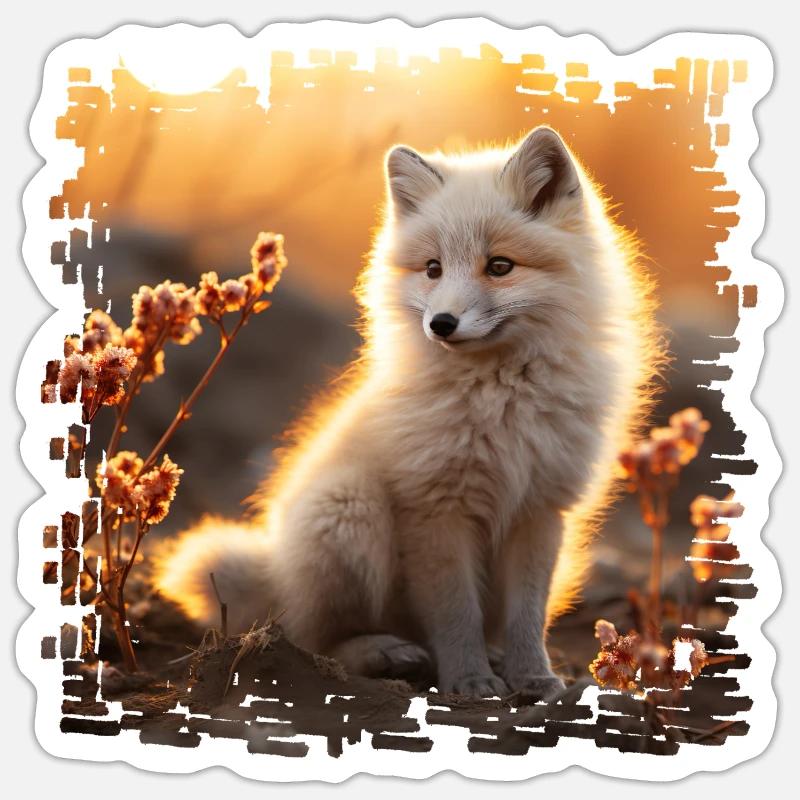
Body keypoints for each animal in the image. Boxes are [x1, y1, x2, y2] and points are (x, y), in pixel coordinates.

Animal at [154, 126, 660, 699]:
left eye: (500, 266)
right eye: (433, 269)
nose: (441, 323)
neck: (501, 402)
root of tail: (275, 571)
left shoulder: (539, 510)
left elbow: (527, 617)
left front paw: (533, 677)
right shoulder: (435, 509)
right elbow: (456, 614)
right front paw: (468, 682)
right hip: (349, 510)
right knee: (308, 636)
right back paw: (382, 654)